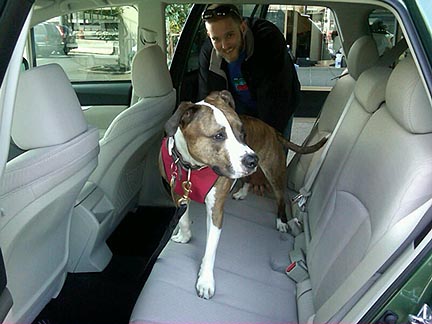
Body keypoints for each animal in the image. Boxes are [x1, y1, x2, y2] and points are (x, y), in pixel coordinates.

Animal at [160, 90, 326, 298]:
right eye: (219, 135)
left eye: (243, 133)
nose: (253, 159)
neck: (192, 167)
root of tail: (271, 129)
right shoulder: (177, 193)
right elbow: (182, 219)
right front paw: (184, 237)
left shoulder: (215, 211)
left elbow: (210, 249)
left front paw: (205, 280)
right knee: (248, 178)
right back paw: (242, 192)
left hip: (274, 173)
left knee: (281, 197)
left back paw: (281, 221)